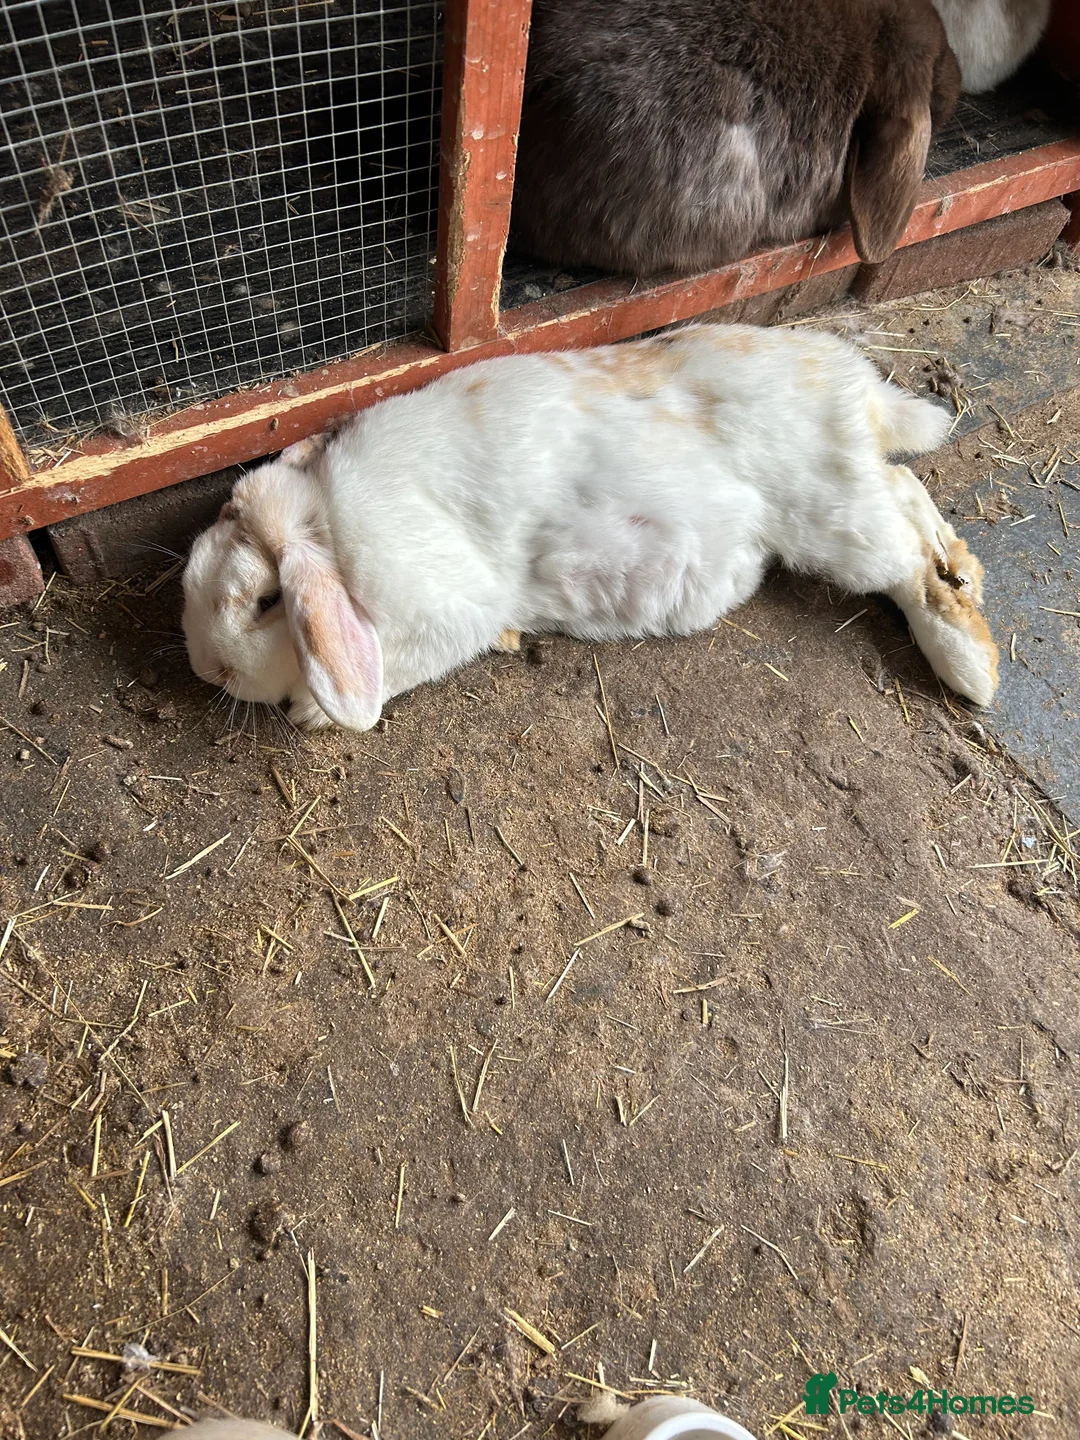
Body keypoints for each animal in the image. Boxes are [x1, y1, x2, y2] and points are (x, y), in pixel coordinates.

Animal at [182, 324, 998, 733]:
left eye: (265, 602)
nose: (205, 670)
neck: (326, 522)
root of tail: (858, 389)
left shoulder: (442, 614)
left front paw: (306, 710)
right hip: (851, 493)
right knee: (908, 494)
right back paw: (964, 585)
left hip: (833, 516)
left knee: (906, 557)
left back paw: (971, 666)